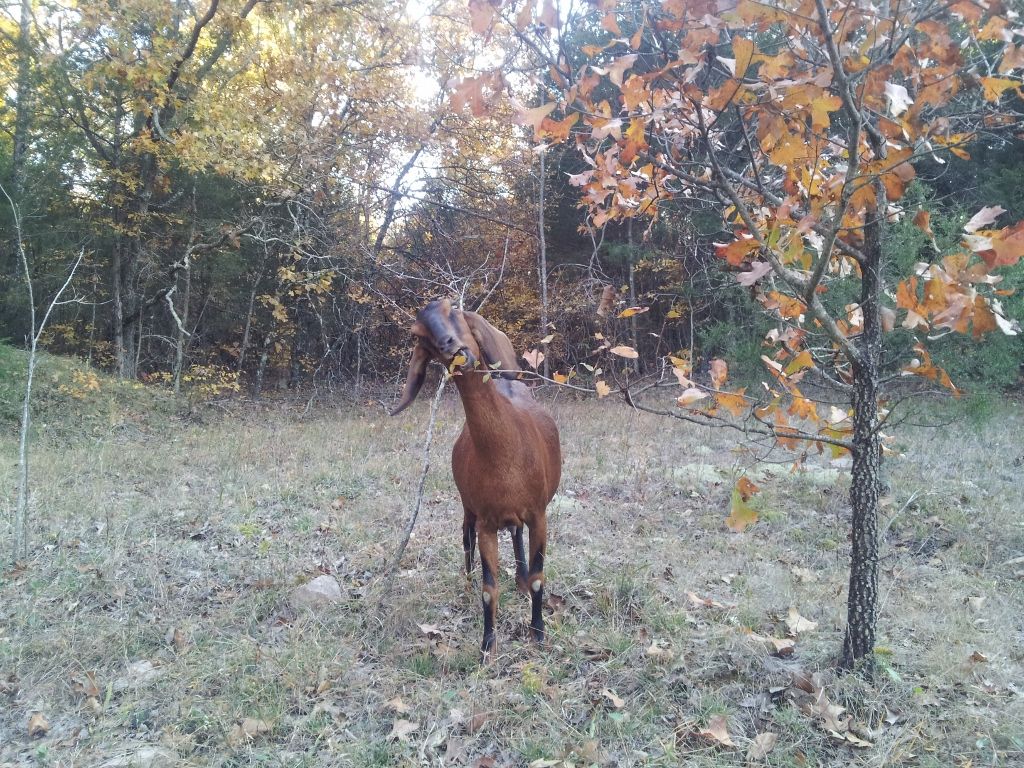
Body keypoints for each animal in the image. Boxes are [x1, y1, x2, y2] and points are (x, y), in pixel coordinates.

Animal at [391, 298, 561, 656]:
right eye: (419, 335)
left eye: (452, 310)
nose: (450, 345)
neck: (505, 457)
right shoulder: (486, 521)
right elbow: (488, 589)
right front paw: (487, 647)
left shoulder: (539, 513)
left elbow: (539, 577)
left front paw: (538, 633)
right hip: (467, 505)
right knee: (465, 535)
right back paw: (468, 581)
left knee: (516, 535)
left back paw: (520, 580)